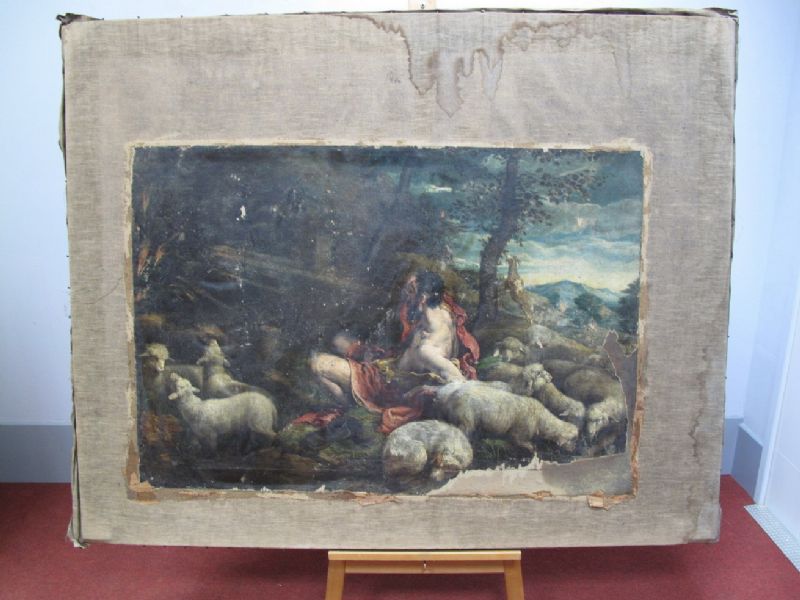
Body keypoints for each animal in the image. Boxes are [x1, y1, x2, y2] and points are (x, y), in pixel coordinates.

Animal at [432, 380, 579, 453]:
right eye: (572, 438)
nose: (574, 449)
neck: (540, 419)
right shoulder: (520, 431)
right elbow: (519, 441)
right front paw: (531, 448)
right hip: (466, 420)